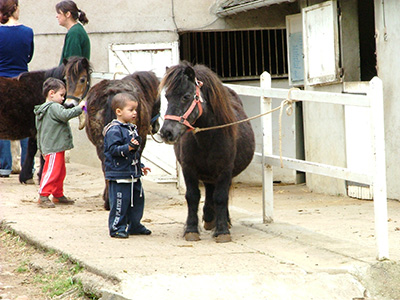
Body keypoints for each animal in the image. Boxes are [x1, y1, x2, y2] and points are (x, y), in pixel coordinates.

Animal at [159, 62, 255, 243]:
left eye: (186, 96)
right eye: (167, 97)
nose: (166, 132)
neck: (207, 137)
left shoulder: (225, 170)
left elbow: (221, 197)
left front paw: (222, 231)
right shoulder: (188, 169)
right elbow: (192, 196)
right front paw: (191, 230)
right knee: (209, 190)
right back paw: (210, 219)